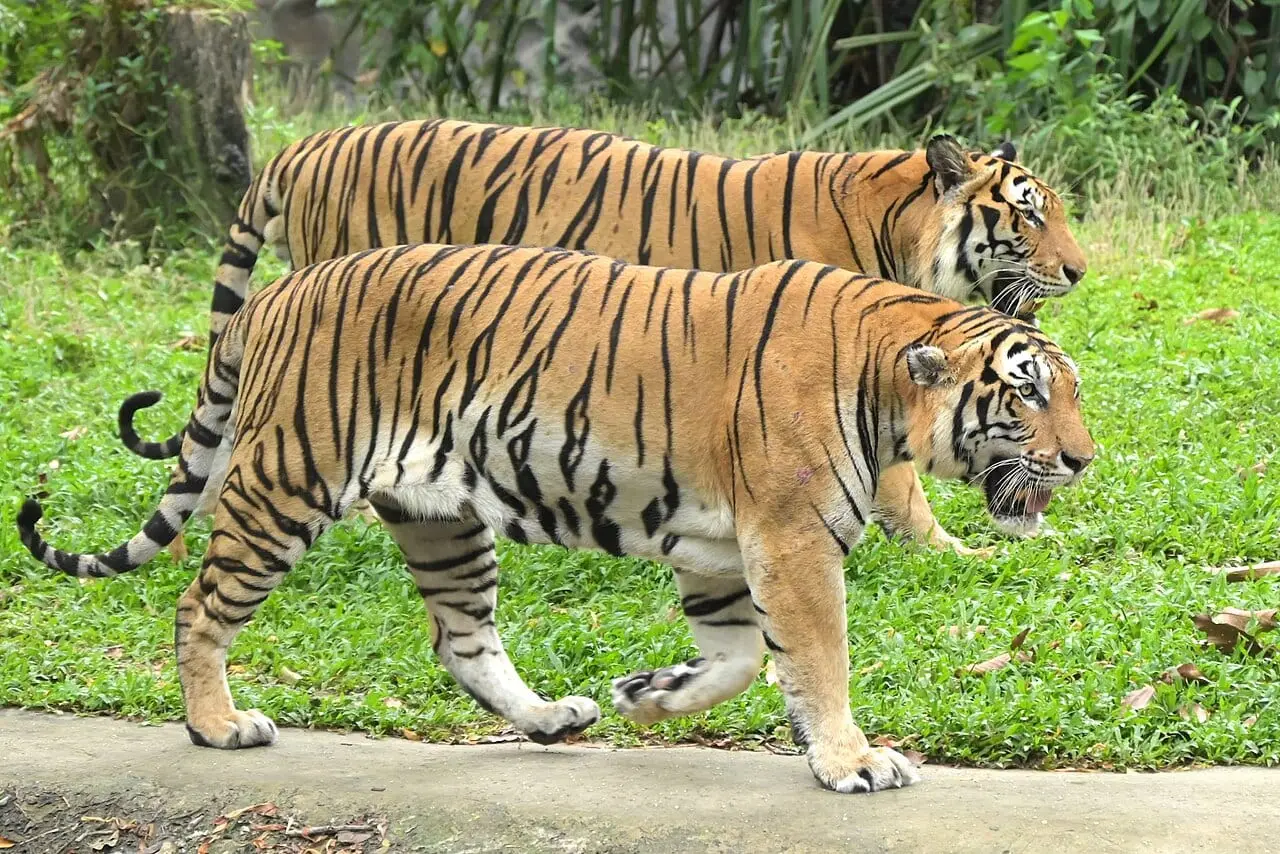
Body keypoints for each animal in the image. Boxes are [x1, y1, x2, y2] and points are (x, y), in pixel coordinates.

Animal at [20, 244, 1095, 794]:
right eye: (1028, 393)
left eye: (1071, 393)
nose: (1084, 459)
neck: (888, 380)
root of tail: (274, 295)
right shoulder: (790, 541)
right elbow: (817, 660)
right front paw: (853, 761)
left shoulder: (720, 550)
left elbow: (739, 658)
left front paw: (647, 697)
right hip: (287, 481)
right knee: (200, 604)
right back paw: (217, 725)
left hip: (441, 516)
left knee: (460, 641)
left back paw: (548, 717)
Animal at [119, 119, 1089, 555]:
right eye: (1031, 216)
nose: (1081, 272)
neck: (899, 225)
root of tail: (307, 143)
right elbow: (900, 483)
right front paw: (950, 548)